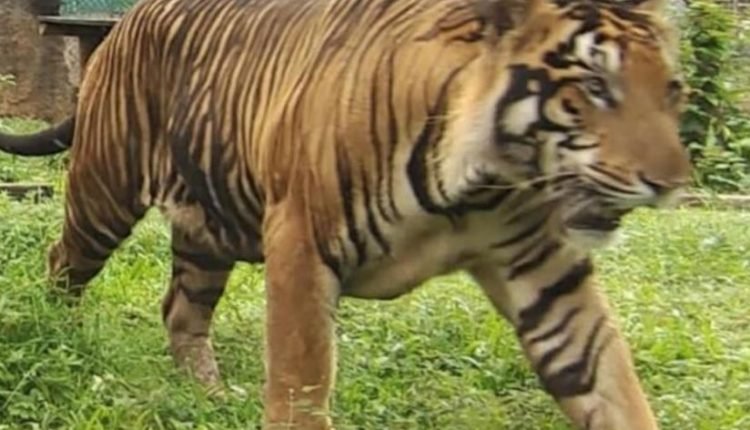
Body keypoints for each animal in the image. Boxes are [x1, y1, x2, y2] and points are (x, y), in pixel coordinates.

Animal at [0, 0, 691, 428]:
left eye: (673, 90)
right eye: (595, 87)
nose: (671, 183)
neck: (480, 188)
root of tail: (123, 22)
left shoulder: (546, 271)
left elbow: (607, 382)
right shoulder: (302, 247)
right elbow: (301, 385)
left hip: (206, 225)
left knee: (180, 310)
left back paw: (212, 398)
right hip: (105, 192)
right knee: (63, 262)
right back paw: (59, 336)